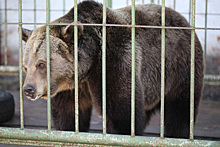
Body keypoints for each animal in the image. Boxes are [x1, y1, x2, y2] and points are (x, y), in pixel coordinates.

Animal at [21, 1, 204, 138]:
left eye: (41, 64)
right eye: (25, 66)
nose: (28, 89)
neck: (88, 65)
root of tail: (185, 21)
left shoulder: (114, 61)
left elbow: (121, 112)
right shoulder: (69, 87)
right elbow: (68, 113)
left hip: (179, 67)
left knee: (180, 110)